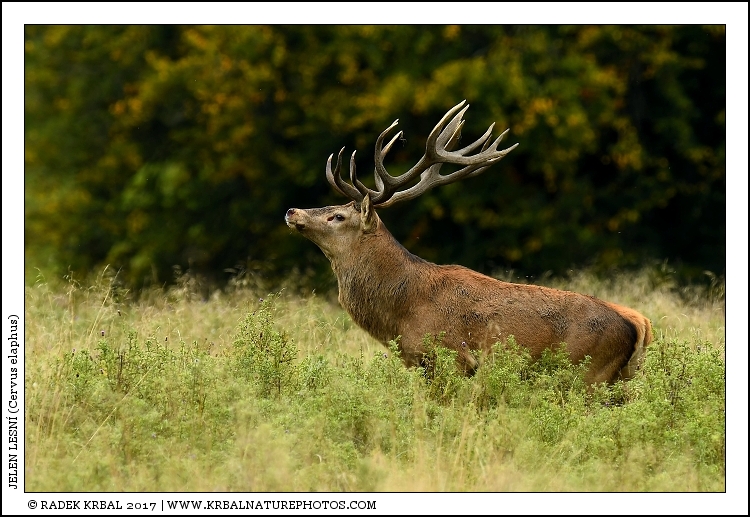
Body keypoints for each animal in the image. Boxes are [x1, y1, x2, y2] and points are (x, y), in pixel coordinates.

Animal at [285, 100, 652, 385]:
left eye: (337, 217)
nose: (292, 210)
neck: (401, 312)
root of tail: (639, 323)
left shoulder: (449, 357)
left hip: (587, 373)